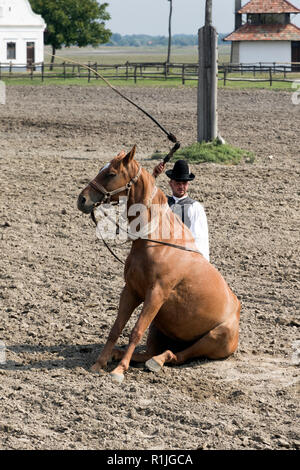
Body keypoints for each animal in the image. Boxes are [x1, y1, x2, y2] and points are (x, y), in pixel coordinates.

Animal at [77, 146, 241, 382]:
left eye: (111, 173)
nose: (82, 199)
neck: (157, 241)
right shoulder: (131, 290)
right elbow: (116, 328)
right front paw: (100, 363)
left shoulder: (156, 294)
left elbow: (136, 331)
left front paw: (118, 371)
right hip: (159, 327)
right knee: (150, 352)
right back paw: (122, 355)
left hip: (213, 339)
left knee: (176, 355)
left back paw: (156, 361)